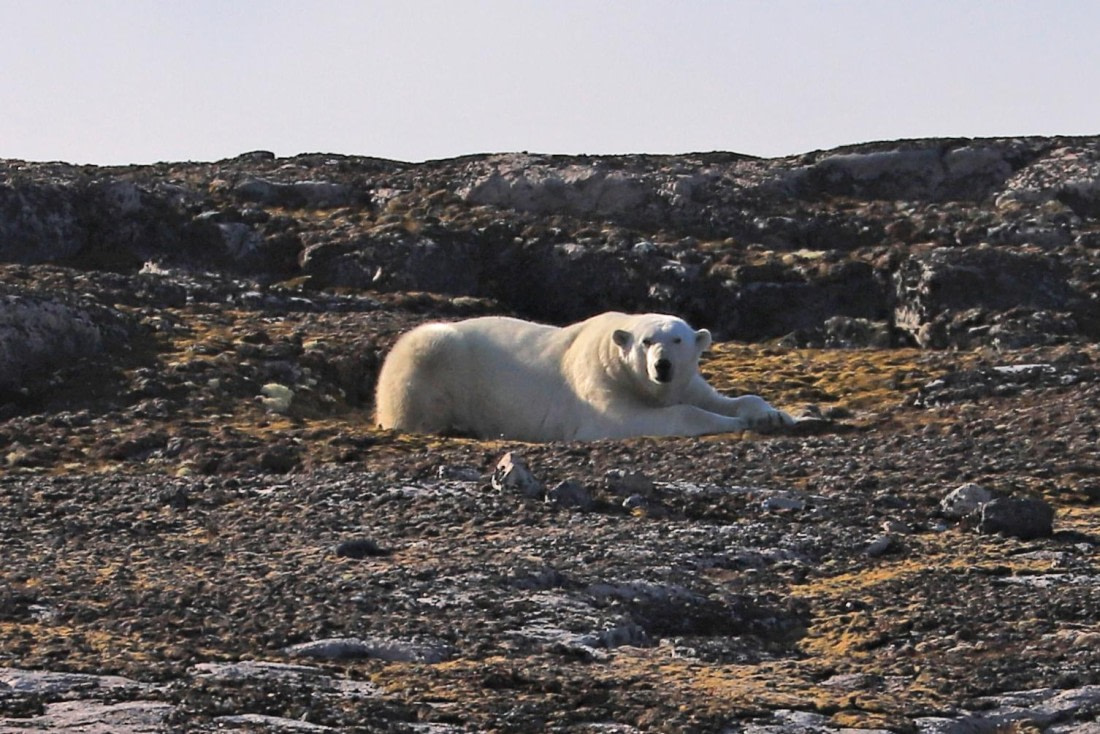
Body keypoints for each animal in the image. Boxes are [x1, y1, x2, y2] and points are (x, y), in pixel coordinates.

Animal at [374, 311, 794, 442]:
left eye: (678, 339)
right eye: (647, 341)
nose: (663, 366)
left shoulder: (685, 383)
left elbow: (716, 398)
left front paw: (773, 415)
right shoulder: (598, 385)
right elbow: (635, 419)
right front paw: (738, 423)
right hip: (430, 356)